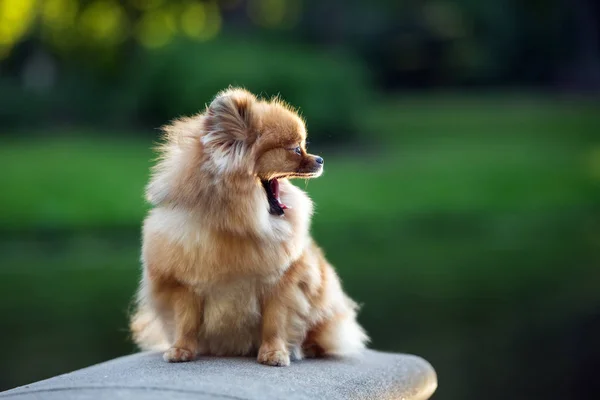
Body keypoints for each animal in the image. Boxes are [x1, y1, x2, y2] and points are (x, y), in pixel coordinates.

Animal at [129, 87, 368, 366]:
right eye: (296, 150)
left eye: (303, 146)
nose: (320, 159)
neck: (234, 223)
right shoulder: (185, 284)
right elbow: (186, 320)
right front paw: (181, 349)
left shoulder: (281, 284)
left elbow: (275, 323)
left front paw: (274, 353)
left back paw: (307, 348)